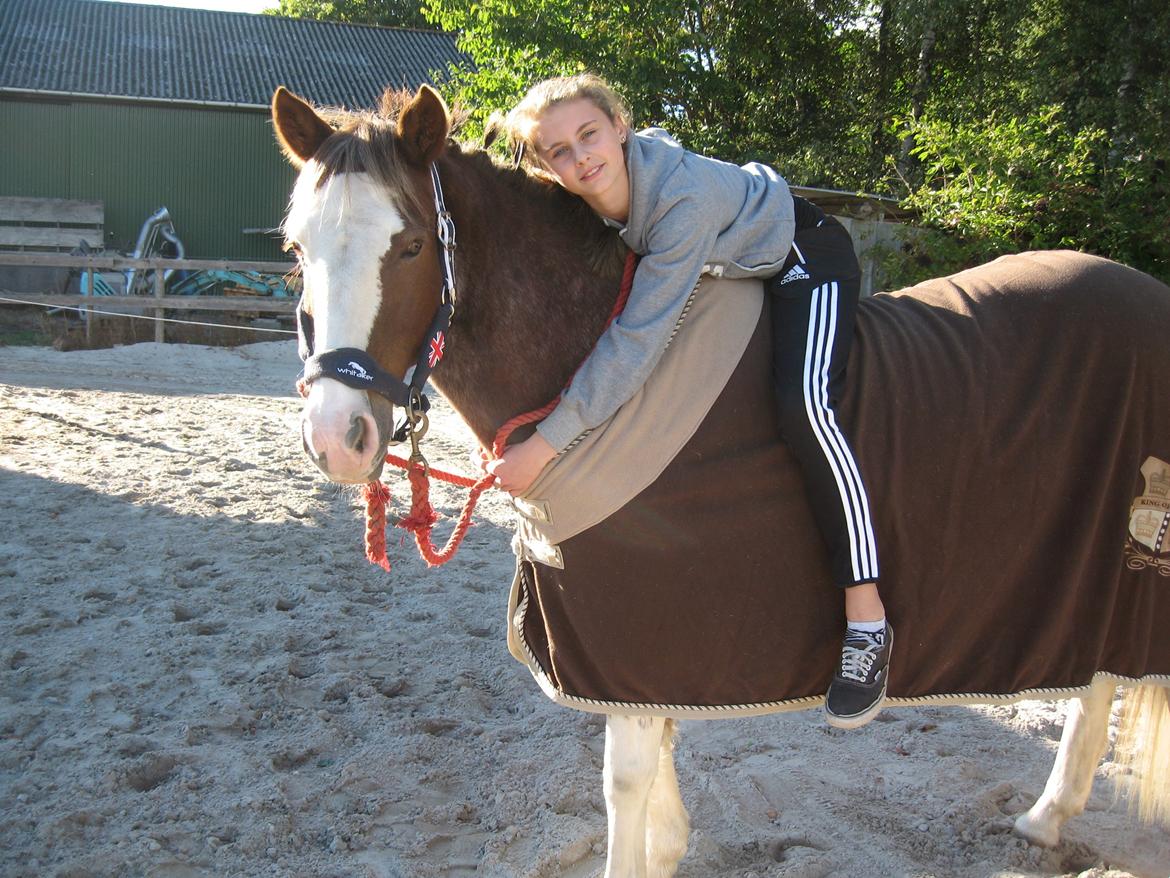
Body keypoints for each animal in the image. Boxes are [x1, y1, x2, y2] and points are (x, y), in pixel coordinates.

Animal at [271, 84, 1170, 877]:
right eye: (296, 250)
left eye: (411, 245)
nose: (337, 437)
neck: (598, 366)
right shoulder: (641, 648)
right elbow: (659, 743)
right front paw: (671, 846)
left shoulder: (642, 628)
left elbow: (625, 778)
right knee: (1096, 689)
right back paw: (1047, 819)